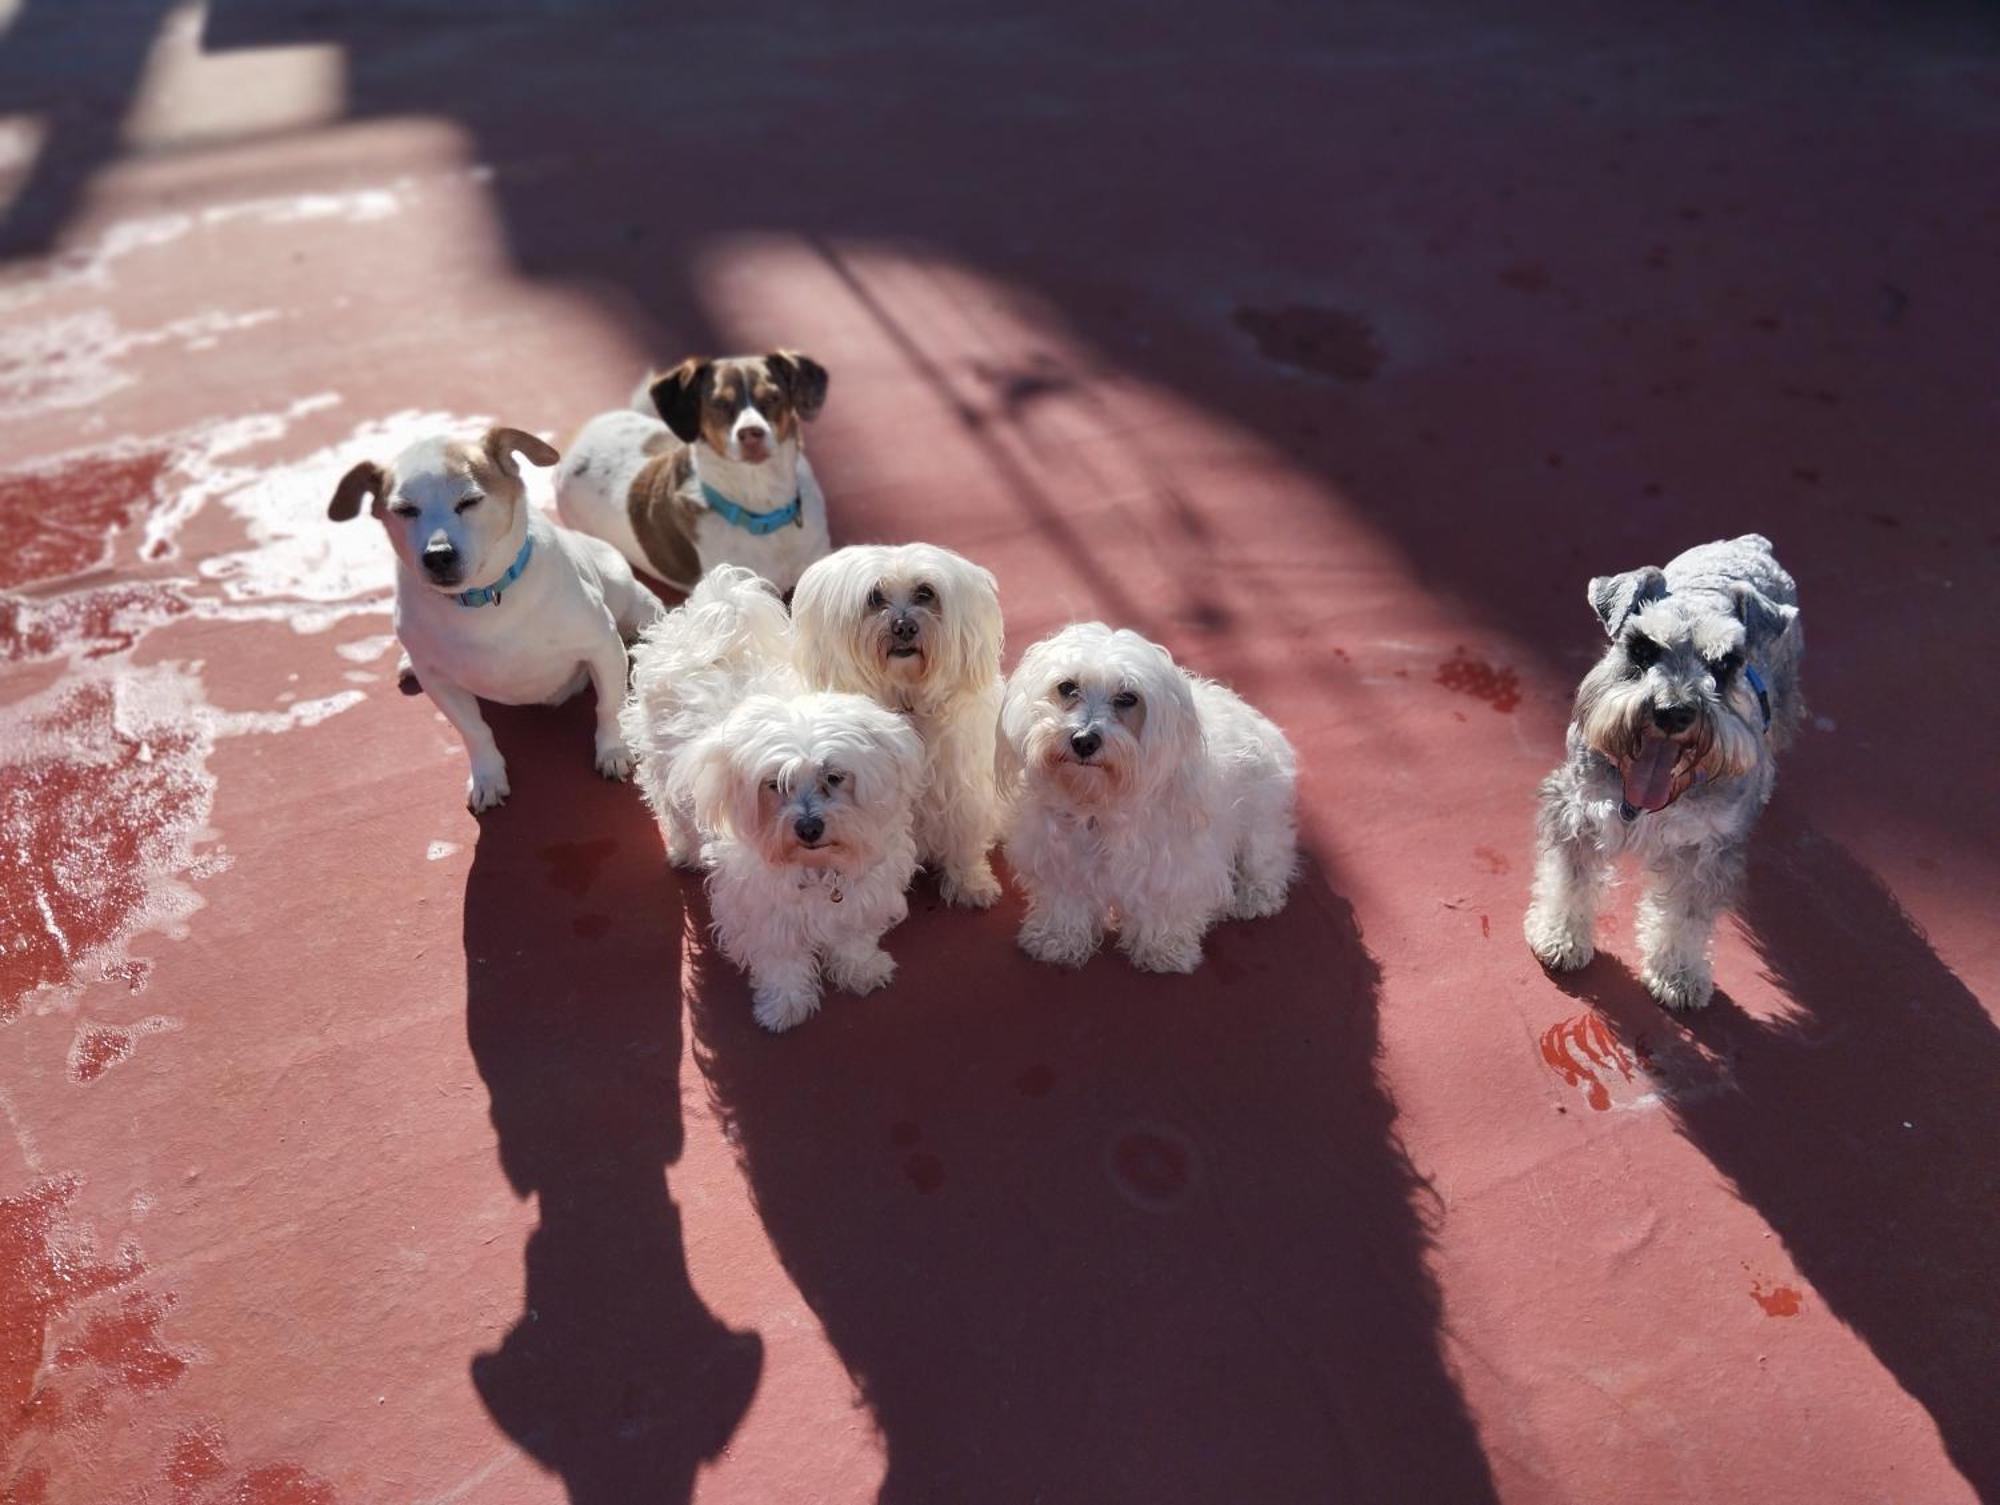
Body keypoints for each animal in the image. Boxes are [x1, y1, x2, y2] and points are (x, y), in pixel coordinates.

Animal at [624, 568, 928, 1032]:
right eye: (774, 784)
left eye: (833, 776)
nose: (808, 827)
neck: (818, 870)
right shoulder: (765, 911)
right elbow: (781, 961)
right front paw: (784, 1005)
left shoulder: (861, 892)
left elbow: (852, 938)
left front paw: (861, 970)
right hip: (661, 769)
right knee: (672, 814)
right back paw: (684, 852)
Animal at [788, 548, 1008, 912]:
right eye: (874, 598)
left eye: (925, 593)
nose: (904, 626)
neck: (906, 702)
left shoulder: (961, 791)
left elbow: (963, 838)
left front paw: (972, 883)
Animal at [996, 624, 1296, 976]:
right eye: (1067, 687)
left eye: (1128, 698)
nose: (1084, 740)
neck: (1098, 806)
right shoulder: (1059, 860)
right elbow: (1065, 903)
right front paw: (1056, 940)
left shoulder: (1175, 865)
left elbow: (1164, 906)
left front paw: (1163, 950)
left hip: (1259, 817)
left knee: (1272, 855)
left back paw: (1255, 895)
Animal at [1520, 528, 1808, 1012]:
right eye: (1641, 647)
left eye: (1725, 663)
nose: (1673, 712)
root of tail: (1753, 544)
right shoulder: (1577, 810)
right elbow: (1569, 878)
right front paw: (1559, 937)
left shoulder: (1704, 848)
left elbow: (1686, 916)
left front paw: (1679, 975)